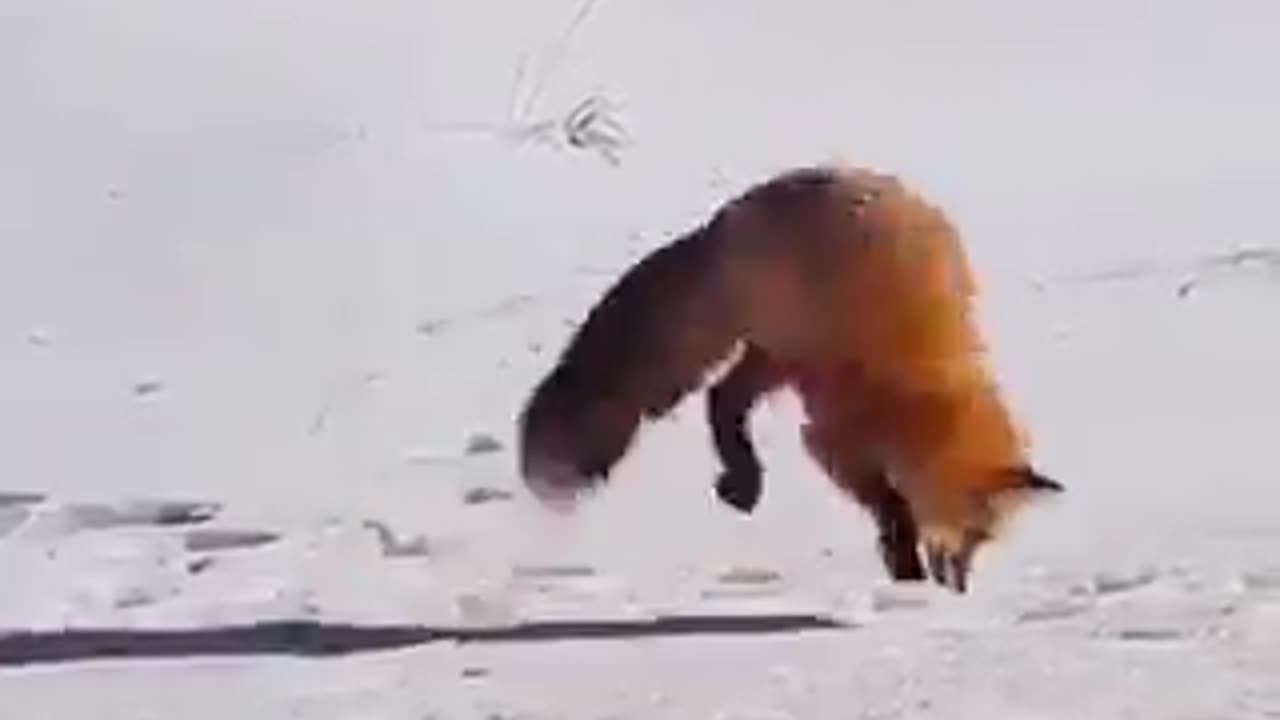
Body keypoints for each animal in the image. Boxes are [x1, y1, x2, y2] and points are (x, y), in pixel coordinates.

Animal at [509, 163, 1059, 594]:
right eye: (974, 534)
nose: (960, 590)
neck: (922, 387)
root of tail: (733, 213)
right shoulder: (833, 438)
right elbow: (892, 507)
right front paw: (906, 575)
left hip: (777, 359)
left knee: (721, 397)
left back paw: (742, 482)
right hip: (788, 351)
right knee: (720, 397)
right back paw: (743, 478)